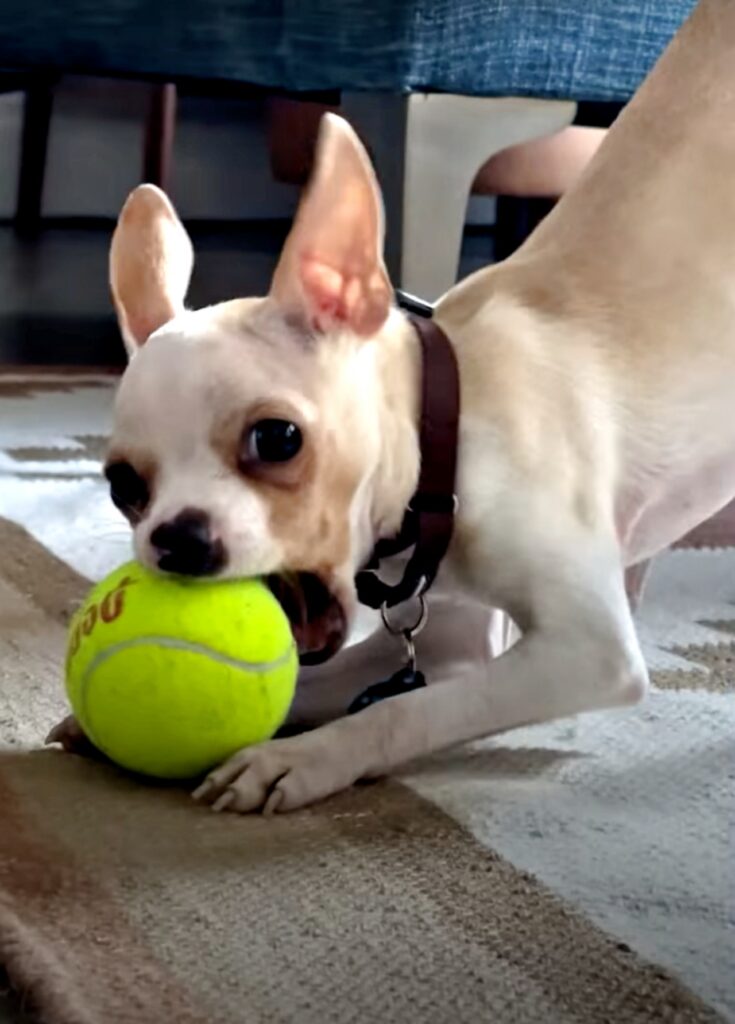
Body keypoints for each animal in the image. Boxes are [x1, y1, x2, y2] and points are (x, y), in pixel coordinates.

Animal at [53, 2, 735, 815]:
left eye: (276, 438)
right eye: (124, 486)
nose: (175, 539)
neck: (452, 435)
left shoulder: (587, 652)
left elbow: (399, 713)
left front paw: (298, 760)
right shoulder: (453, 648)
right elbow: (316, 684)